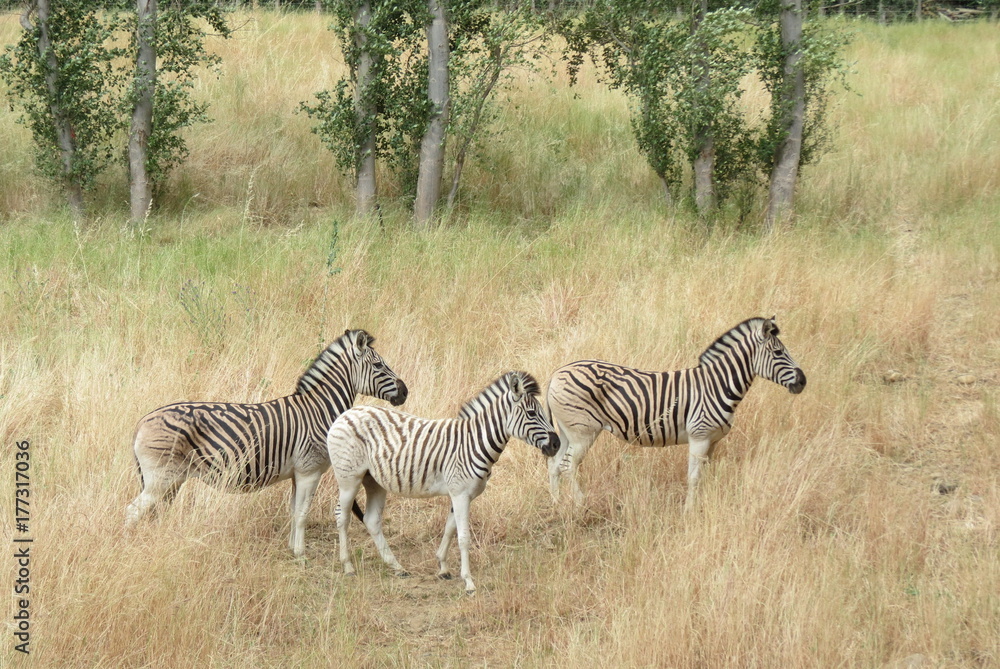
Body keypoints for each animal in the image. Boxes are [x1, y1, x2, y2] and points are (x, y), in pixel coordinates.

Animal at [125, 329, 408, 558]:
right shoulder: (309, 470)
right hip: (161, 479)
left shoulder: (297, 473)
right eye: (379, 366)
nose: (405, 392)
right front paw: (301, 554)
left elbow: (294, 511)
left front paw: (292, 549)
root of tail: (142, 421)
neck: (319, 410)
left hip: (170, 481)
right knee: (132, 512)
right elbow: (303, 514)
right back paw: (130, 547)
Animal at [326, 371, 559, 595]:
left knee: (372, 520)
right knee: (342, 516)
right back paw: (348, 566)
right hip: (349, 478)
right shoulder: (460, 493)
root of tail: (345, 414)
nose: (556, 444)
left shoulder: (461, 494)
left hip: (374, 480)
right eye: (532, 414)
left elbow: (449, 529)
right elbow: (463, 537)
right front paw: (468, 582)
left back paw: (397, 567)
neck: (474, 442)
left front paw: (443, 567)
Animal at [546, 317, 806, 510]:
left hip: (568, 432)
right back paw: (580, 504)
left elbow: (704, 476)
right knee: (568, 466)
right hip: (583, 432)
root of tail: (557, 372)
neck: (718, 385)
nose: (803, 381)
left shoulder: (713, 441)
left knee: (555, 464)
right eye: (778, 353)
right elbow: (693, 477)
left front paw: (703, 504)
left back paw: (557, 503)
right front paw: (689, 511)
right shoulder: (699, 436)